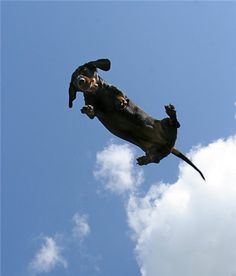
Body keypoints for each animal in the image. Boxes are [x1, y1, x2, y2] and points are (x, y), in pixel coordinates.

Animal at [68, 58, 205, 180]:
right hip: (151, 149)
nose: (80, 81)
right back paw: (146, 159)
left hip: (165, 123)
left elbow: (120, 96)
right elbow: (92, 113)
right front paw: (88, 109)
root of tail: (169, 146)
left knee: (175, 123)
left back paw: (171, 113)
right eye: (74, 81)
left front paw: (120, 102)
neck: (97, 92)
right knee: (156, 159)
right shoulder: (94, 108)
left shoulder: (116, 91)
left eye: (84, 70)